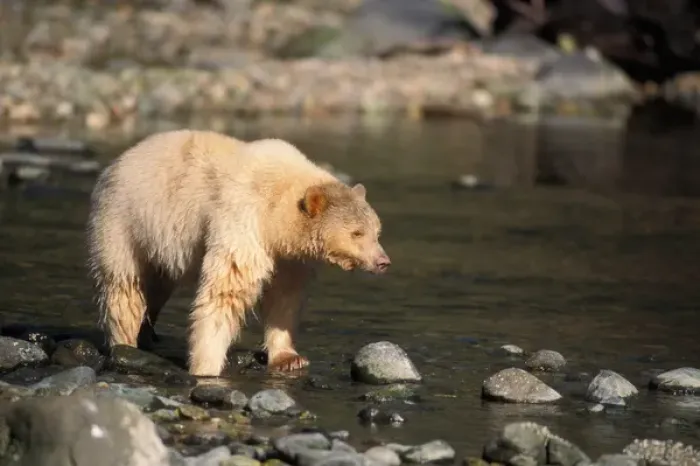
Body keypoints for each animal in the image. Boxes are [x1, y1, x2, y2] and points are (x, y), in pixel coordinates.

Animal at [86, 129, 391, 377]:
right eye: (356, 233)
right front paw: (206, 366)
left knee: (157, 287)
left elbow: (285, 297)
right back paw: (125, 342)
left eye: (376, 231)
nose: (383, 262)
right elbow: (227, 290)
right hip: (125, 223)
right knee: (124, 287)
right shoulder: (242, 217)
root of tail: (115, 164)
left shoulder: (289, 256)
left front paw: (289, 358)